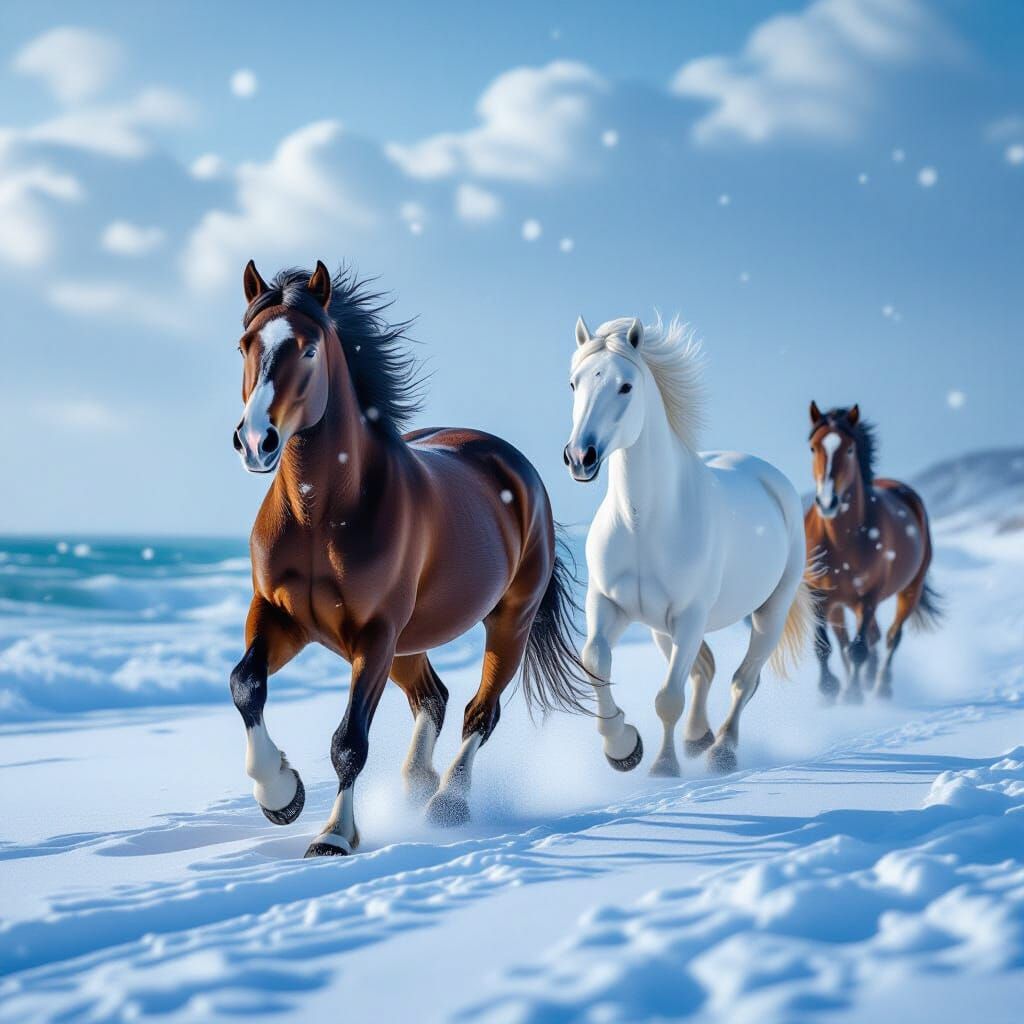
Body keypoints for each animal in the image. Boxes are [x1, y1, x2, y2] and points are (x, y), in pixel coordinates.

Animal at [228, 261, 587, 857]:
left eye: (308, 349)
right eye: (244, 345)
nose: (257, 441)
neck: (318, 516)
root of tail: (516, 467)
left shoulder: (374, 633)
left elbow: (349, 740)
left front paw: (333, 835)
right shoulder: (280, 616)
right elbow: (245, 684)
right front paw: (281, 795)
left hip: (504, 622)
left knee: (478, 711)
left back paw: (447, 802)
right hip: (405, 643)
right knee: (432, 697)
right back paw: (417, 783)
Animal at [563, 315, 814, 775]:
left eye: (626, 386)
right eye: (574, 383)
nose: (580, 456)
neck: (643, 525)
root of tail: (770, 476)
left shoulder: (690, 616)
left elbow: (667, 699)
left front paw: (662, 767)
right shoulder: (608, 605)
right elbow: (594, 662)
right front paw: (622, 747)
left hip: (769, 612)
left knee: (743, 680)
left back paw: (722, 751)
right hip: (660, 627)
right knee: (706, 670)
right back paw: (699, 737)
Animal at [805, 402, 940, 702]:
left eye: (850, 449)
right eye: (813, 448)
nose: (828, 502)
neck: (841, 542)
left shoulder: (868, 597)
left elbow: (858, 649)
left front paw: (853, 695)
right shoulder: (819, 595)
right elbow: (824, 646)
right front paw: (829, 689)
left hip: (908, 590)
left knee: (890, 637)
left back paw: (880, 687)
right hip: (840, 604)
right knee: (854, 639)